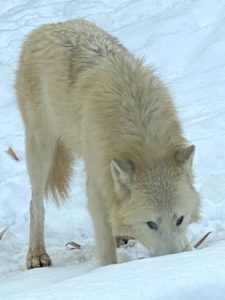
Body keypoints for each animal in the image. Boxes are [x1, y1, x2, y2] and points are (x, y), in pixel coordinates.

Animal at [15, 18, 199, 268]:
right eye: (151, 224)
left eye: (180, 219)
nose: (171, 261)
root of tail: (48, 25)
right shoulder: (97, 180)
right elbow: (106, 248)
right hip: (41, 150)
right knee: (36, 204)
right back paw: (36, 254)